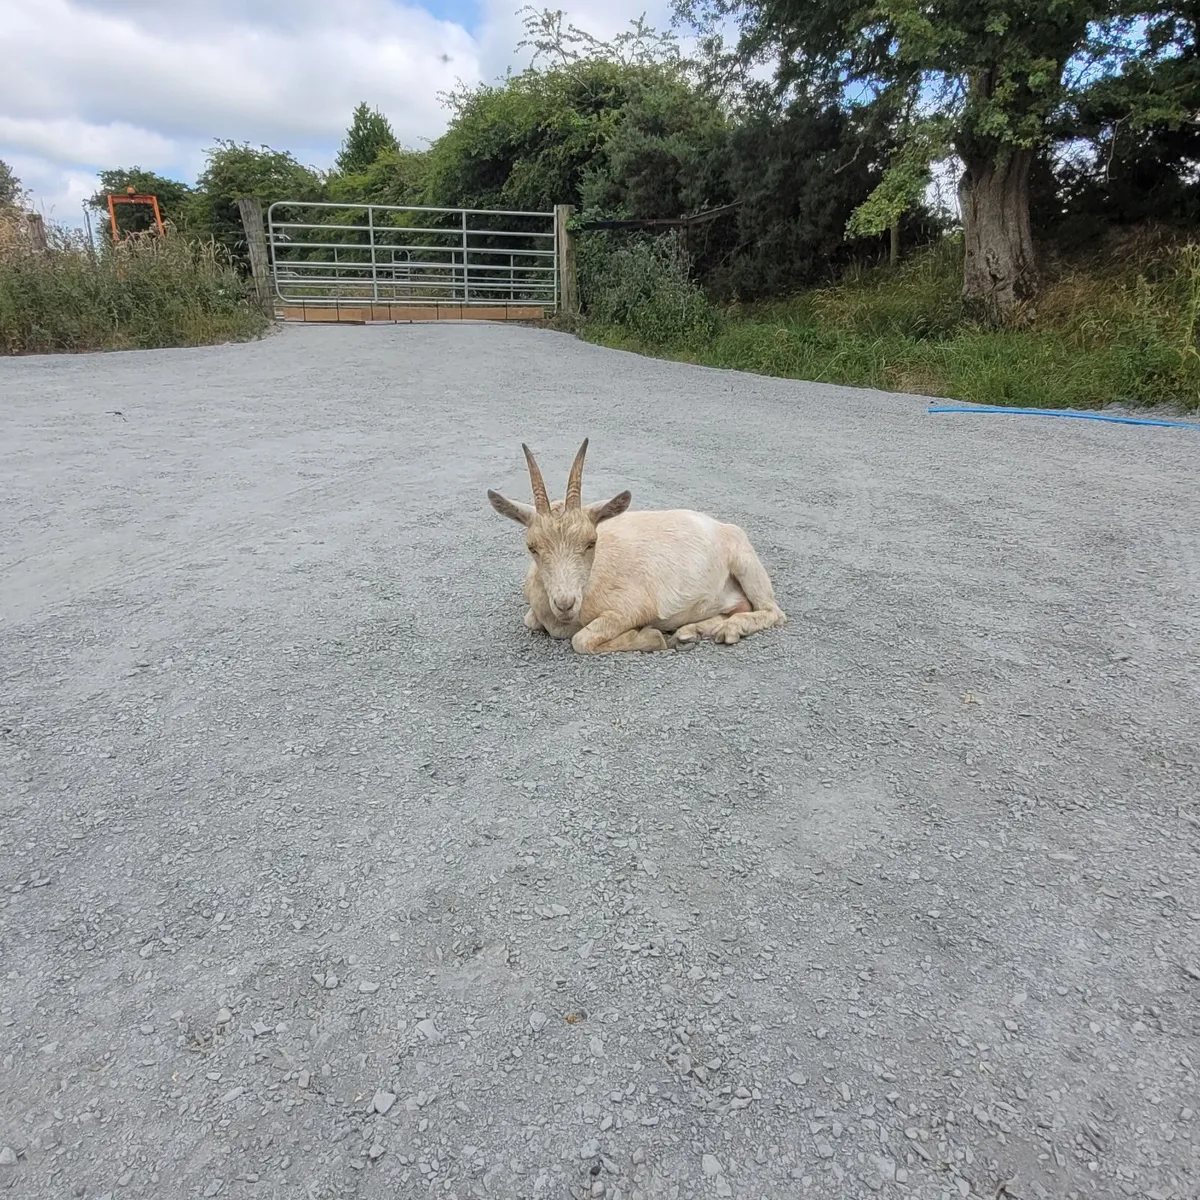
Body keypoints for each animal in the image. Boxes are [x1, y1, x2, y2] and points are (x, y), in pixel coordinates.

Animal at [487, 439, 786, 654]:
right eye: (532, 547)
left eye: (591, 542)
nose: (565, 603)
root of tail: (721, 525)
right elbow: (530, 620)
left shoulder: (632, 608)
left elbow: (582, 640)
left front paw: (650, 636)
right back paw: (691, 633)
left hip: (745, 561)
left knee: (772, 611)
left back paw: (728, 630)